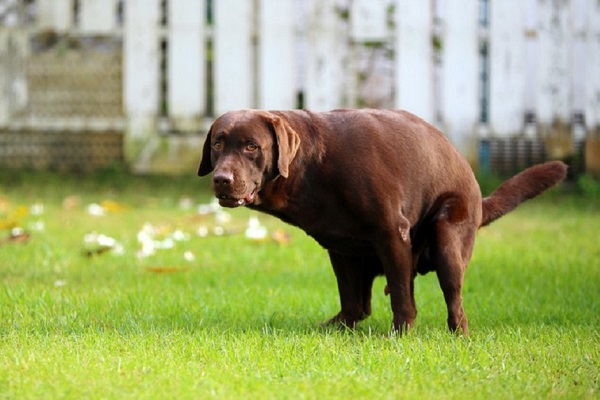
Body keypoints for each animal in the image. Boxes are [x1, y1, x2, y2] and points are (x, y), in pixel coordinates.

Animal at [198, 108, 568, 332]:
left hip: (448, 236)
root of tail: (477, 192)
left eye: (251, 147)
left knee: (455, 301)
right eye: (217, 143)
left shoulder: (392, 233)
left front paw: (400, 334)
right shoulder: (340, 248)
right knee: (362, 304)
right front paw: (337, 329)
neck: (313, 166)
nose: (221, 179)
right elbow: (352, 299)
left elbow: (403, 299)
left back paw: (457, 335)